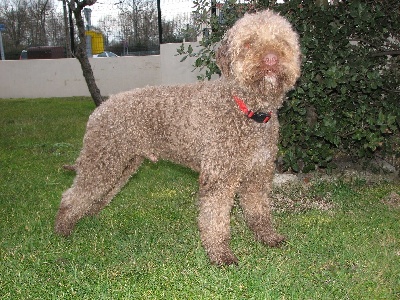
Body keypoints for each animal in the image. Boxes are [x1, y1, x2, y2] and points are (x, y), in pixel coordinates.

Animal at [54, 9, 302, 264]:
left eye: (282, 41)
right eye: (249, 43)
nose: (271, 59)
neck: (245, 109)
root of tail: (99, 109)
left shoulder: (258, 174)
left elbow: (259, 210)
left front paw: (267, 237)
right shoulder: (219, 177)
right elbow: (215, 219)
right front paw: (220, 254)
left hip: (122, 165)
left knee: (96, 196)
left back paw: (88, 216)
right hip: (103, 162)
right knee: (72, 196)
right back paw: (63, 229)